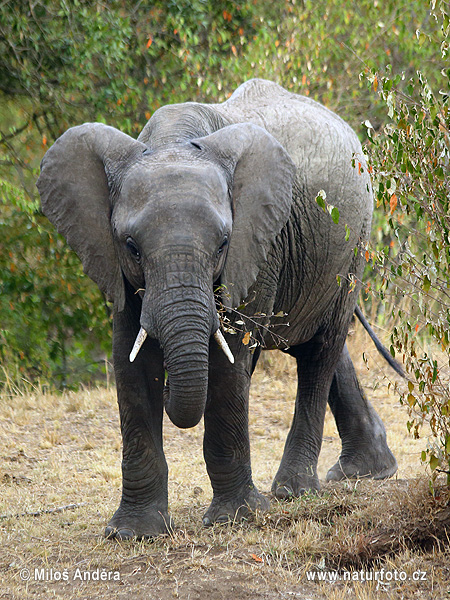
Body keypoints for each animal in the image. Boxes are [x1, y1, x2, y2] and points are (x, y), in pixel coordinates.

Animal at [37, 77, 398, 540]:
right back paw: (368, 471)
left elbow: (230, 357)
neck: (173, 140)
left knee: (320, 351)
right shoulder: (113, 261)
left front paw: (237, 518)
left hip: (352, 247)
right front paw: (133, 533)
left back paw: (294, 491)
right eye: (131, 247)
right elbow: (131, 362)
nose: (172, 388)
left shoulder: (258, 243)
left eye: (223, 244)